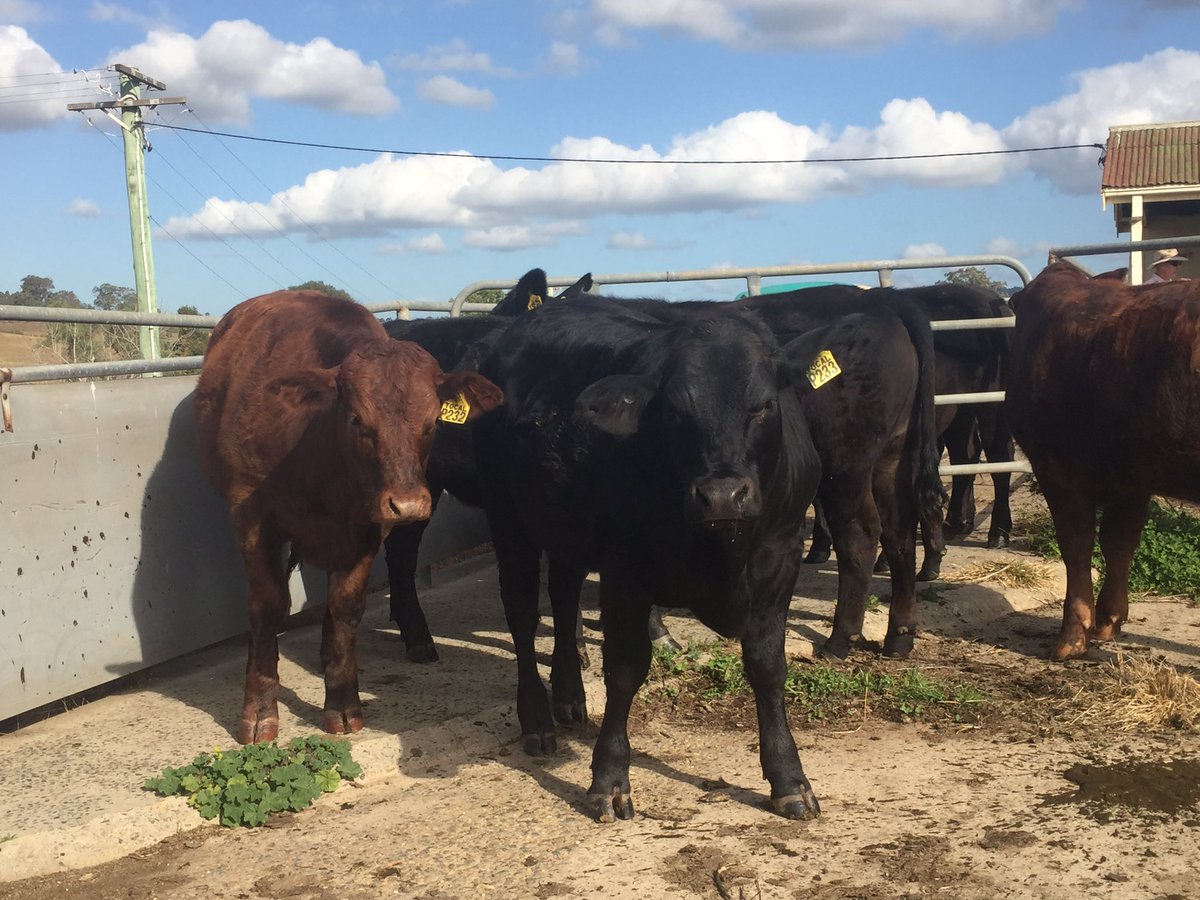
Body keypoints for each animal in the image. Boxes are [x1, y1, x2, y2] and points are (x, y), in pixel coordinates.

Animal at [194, 289, 502, 743]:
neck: (316, 444)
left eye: (432, 421)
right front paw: (260, 711)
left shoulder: (366, 526)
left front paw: (342, 699)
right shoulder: (251, 515)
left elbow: (345, 606)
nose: (408, 505)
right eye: (357, 419)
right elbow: (267, 606)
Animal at [474, 296, 825, 821]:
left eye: (764, 406)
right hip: (508, 518)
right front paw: (609, 779)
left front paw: (789, 779)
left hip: (566, 529)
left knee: (563, 595)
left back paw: (570, 698)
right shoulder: (626, 573)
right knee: (520, 614)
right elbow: (624, 672)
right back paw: (537, 719)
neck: (725, 552)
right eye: (675, 412)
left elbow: (768, 668)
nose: (722, 496)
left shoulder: (781, 562)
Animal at [1005, 261, 1200, 660]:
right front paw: (1108, 621)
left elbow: (1077, 545)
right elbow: (1119, 541)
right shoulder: (1134, 475)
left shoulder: (1056, 469)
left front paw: (1071, 636)